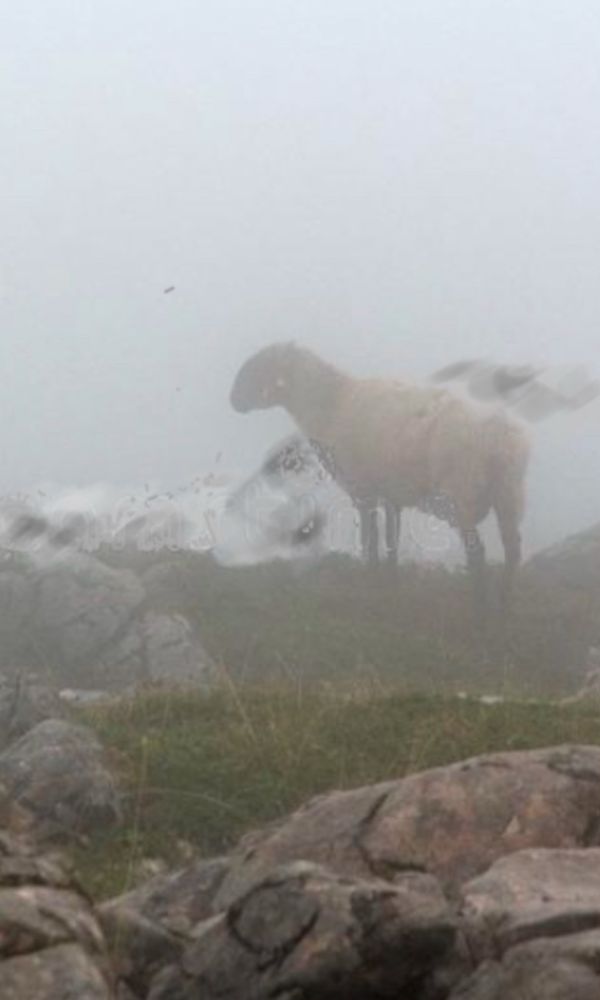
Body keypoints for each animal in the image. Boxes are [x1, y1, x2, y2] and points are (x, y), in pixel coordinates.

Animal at [230, 341, 531, 613]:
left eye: (260, 366)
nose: (233, 399)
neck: (333, 403)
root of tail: (503, 439)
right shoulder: (390, 492)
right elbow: (391, 538)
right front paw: (390, 582)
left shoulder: (363, 489)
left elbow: (370, 537)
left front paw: (370, 579)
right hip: (510, 493)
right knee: (513, 549)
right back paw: (506, 603)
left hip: (463, 492)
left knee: (477, 553)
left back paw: (480, 611)